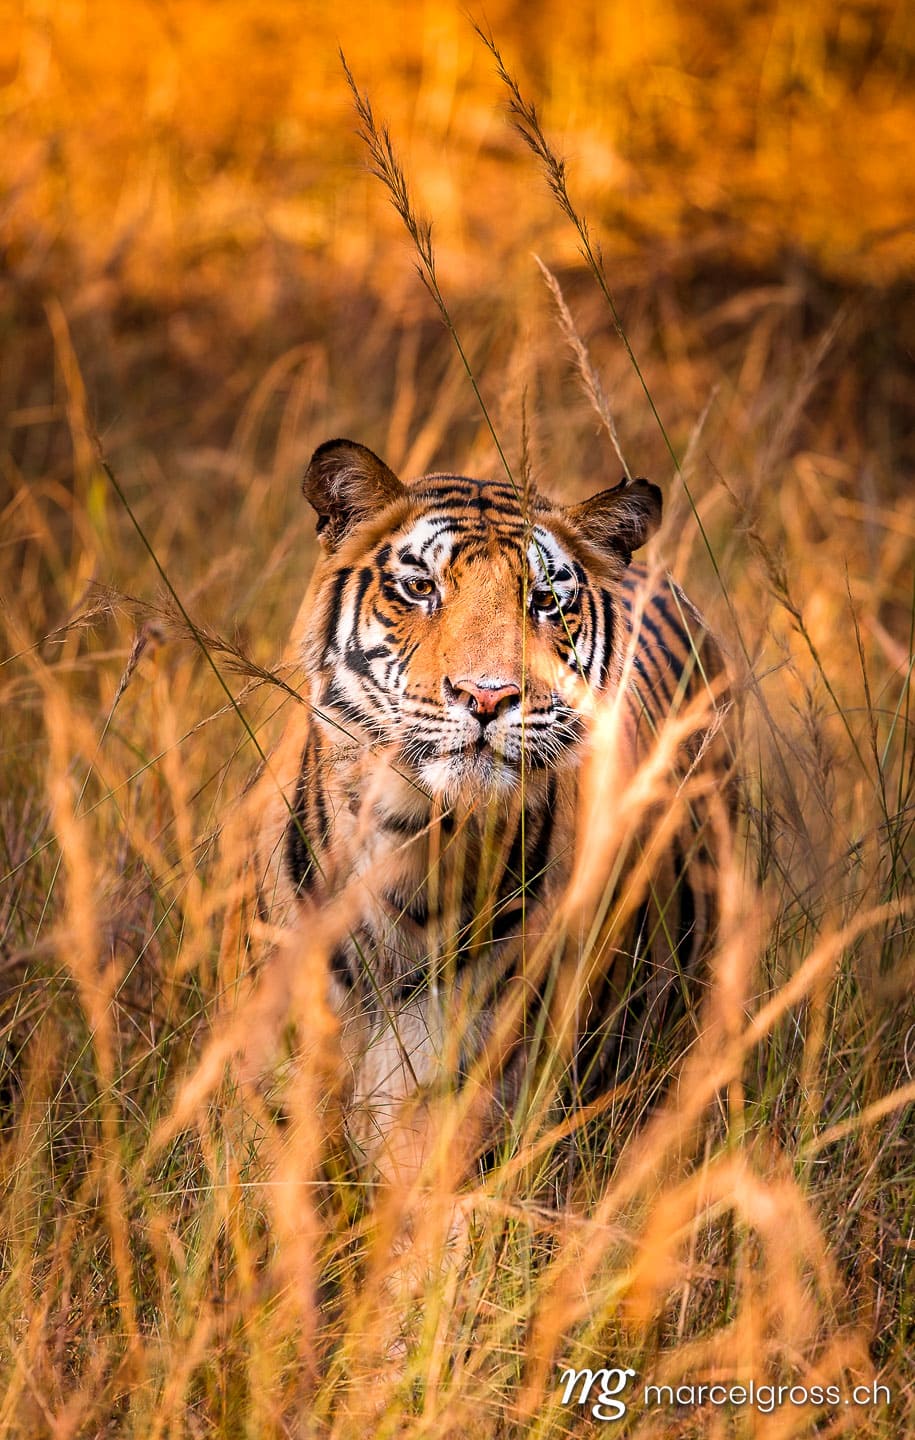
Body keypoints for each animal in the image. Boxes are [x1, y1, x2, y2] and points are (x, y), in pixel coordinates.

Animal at [220, 437, 732, 1188]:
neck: (414, 850)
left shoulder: (461, 1113)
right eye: (420, 588)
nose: (487, 696)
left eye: (545, 602)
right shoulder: (276, 1106)